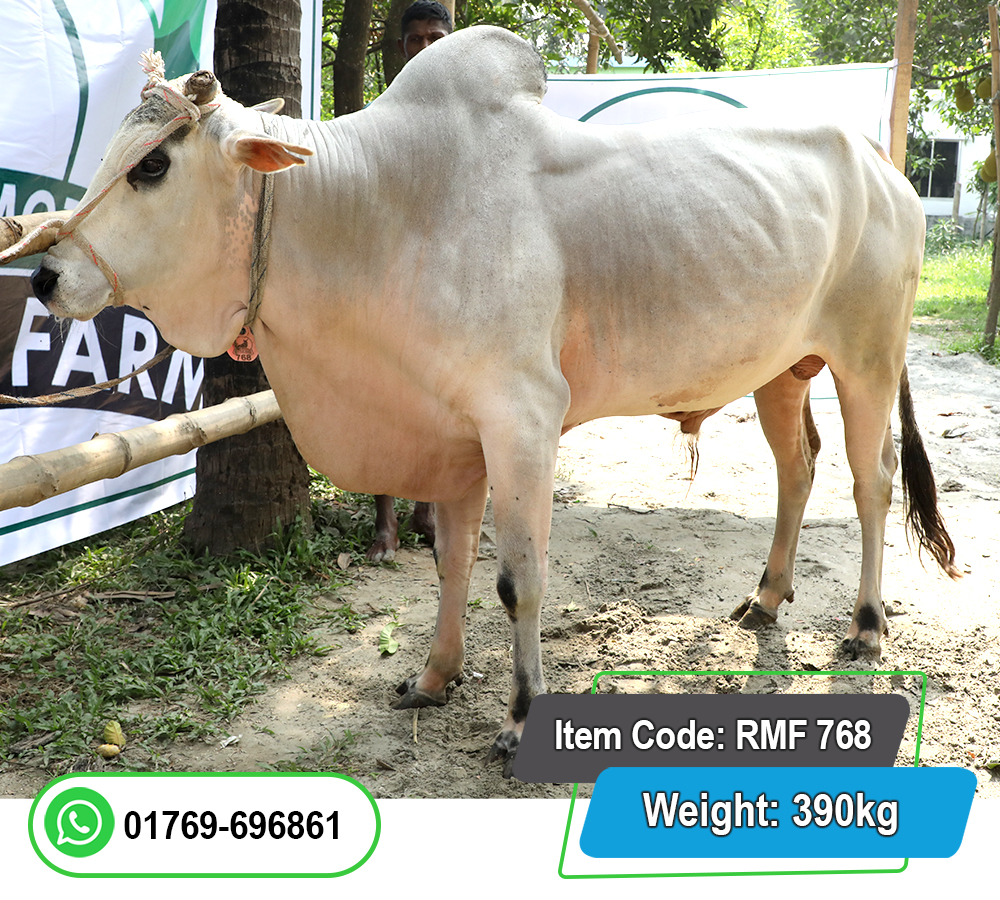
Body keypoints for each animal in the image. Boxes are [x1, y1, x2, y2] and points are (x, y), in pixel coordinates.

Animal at [27, 26, 957, 775]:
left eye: (153, 166)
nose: (45, 276)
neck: (377, 212)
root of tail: (887, 168)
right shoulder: (453, 433)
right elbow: (450, 561)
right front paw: (434, 676)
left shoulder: (522, 421)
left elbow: (519, 581)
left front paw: (519, 721)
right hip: (782, 371)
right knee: (798, 469)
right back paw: (766, 596)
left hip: (868, 359)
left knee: (872, 482)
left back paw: (867, 624)